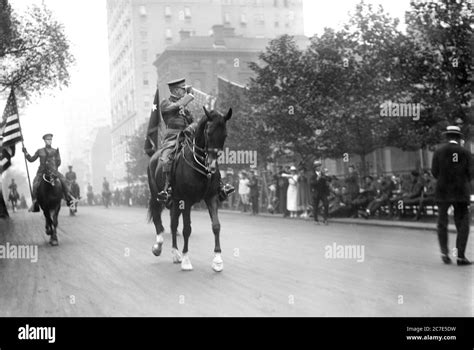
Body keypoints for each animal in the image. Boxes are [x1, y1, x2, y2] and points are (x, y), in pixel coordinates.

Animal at [146, 108, 231, 272]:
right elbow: (187, 229)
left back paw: (175, 253)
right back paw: (158, 245)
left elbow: (216, 226)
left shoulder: (211, 197)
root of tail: (153, 157)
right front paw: (186, 260)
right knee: (158, 217)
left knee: (173, 225)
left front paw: (217, 260)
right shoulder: (186, 200)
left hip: (175, 201)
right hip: (157, 195)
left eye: (225, 135)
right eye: (208, 132)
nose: (211, 165)